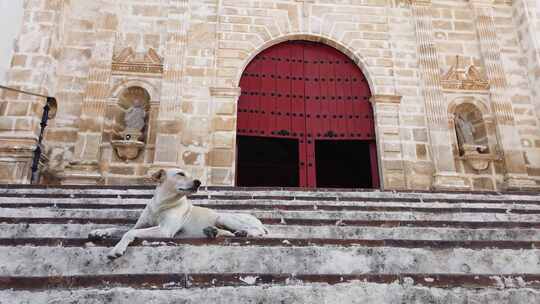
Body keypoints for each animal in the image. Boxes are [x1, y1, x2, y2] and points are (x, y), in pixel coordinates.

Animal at [88, 169, 270, 258]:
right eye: (181, 174)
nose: (198, 182)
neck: (161, 203)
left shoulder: (164, 230)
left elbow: (129, 233)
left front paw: (117, 249)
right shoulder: (141, 225)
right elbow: (120, 228)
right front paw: (99, 231)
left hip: (224, 216)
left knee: (257, 231)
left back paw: (245, 232)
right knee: (227, 233)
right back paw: (214, 231)